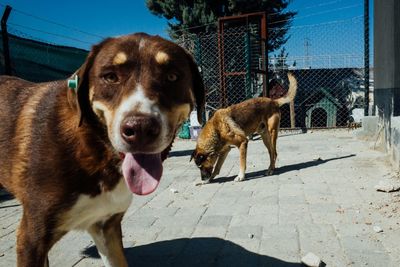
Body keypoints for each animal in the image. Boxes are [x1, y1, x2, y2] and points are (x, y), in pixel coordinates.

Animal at [0, 33, 205, 267]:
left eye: (172, 76)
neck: (96, 149)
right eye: (110, 77)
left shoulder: (107, 226)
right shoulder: (31, 239)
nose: (139, 129)